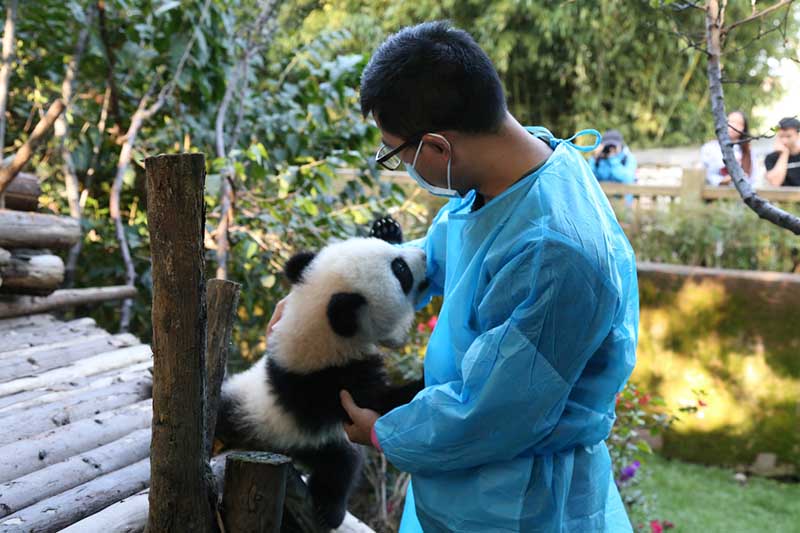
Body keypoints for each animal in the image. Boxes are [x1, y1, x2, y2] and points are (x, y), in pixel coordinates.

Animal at [215, 222, 426, 529]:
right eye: (401, 271)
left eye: (392, 251)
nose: (424, 255)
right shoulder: (331, 383)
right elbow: (384, 405)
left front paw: (386, 228)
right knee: (340, 466)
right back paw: (330, 511)